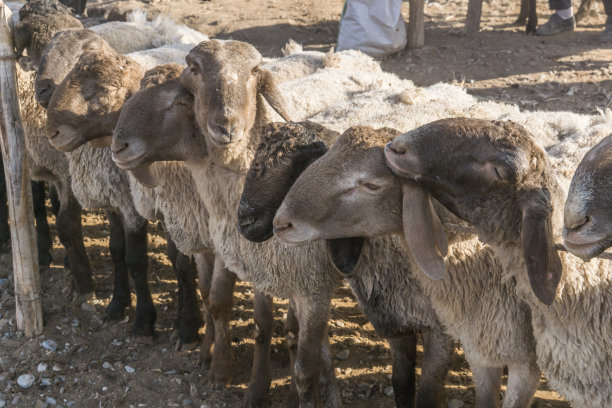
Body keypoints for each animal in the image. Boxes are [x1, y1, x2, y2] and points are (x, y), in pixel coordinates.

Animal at [237, 119, 452, 406]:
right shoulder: (394, 322)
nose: (244, 221)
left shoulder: (441, 334)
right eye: (254, 158)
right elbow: (401, 383)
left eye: (301, 163)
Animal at [274, 126, 544, 406]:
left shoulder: (441, 334)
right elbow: (401, 384)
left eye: (372, 185)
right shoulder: (396, 328)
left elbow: (427, 394)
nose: (281, 223)